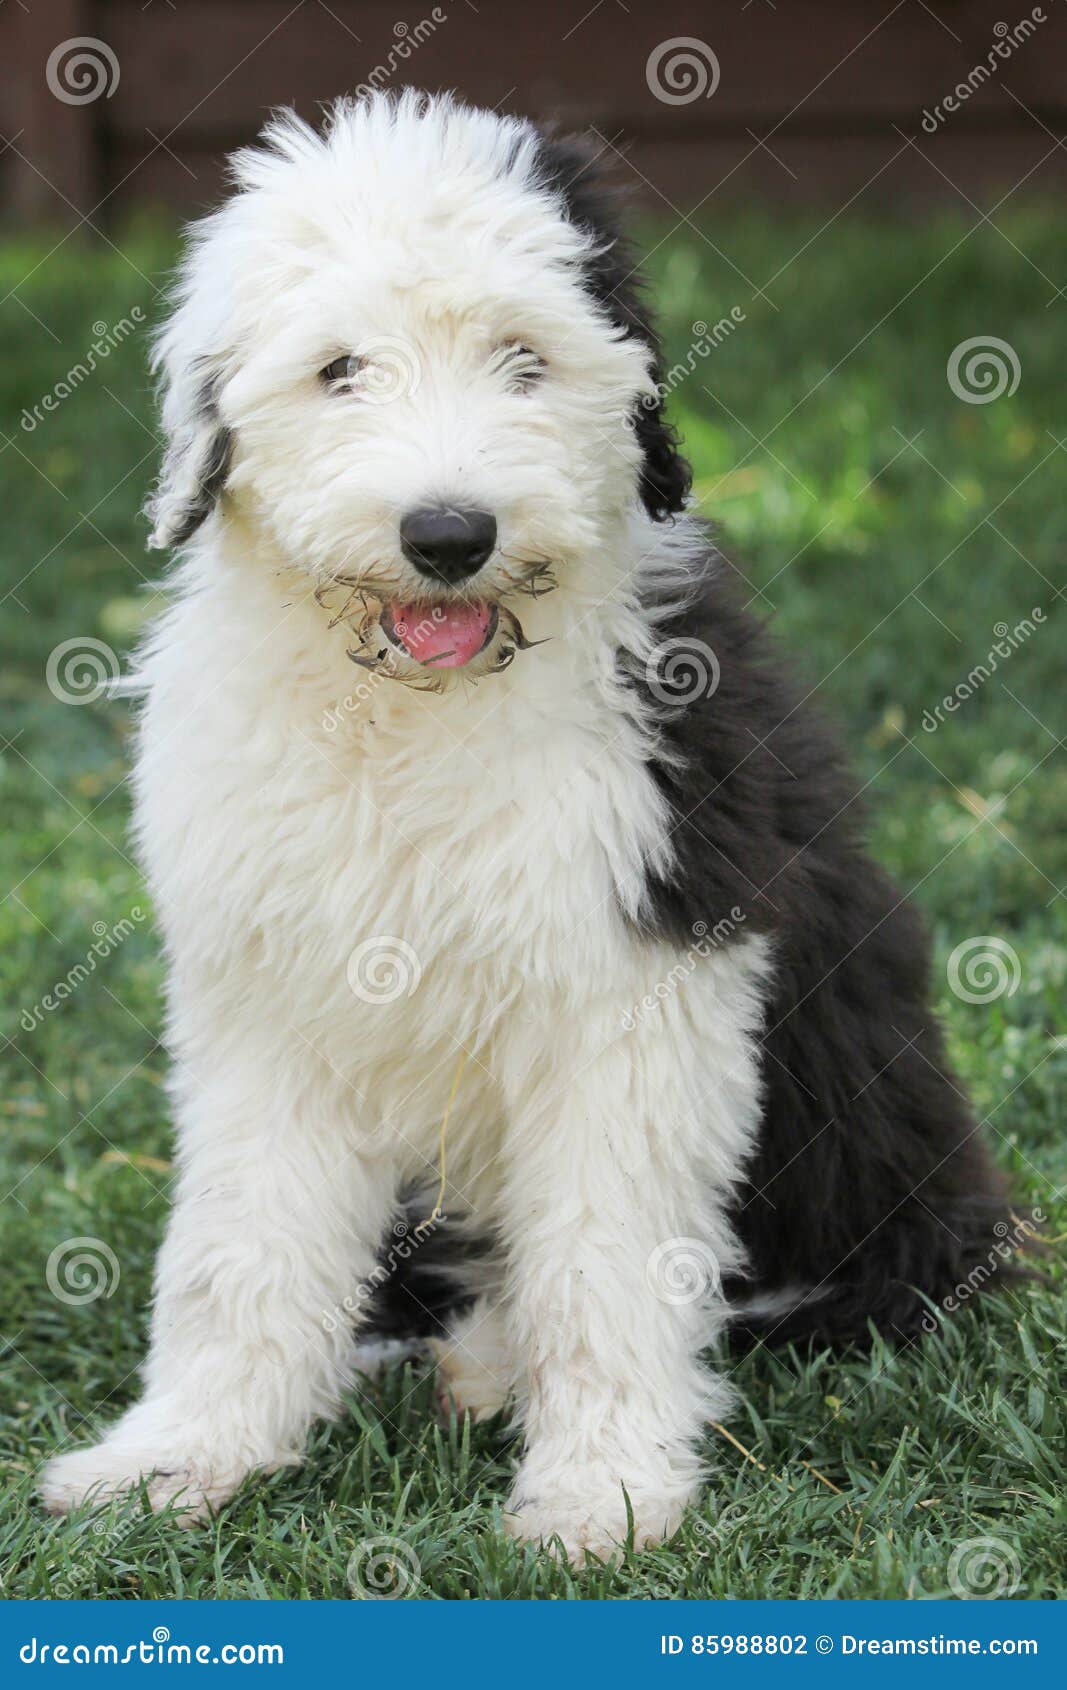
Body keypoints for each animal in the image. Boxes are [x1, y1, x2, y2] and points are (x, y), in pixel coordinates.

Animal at [39, 92, 1007, 1561]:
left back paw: (500, 1361)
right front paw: (177, 1458)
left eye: (523, 358)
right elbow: (238, 1241)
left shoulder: (642, 979)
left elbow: (610, 1255)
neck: (416, 713)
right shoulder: (265, 996)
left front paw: (601, 1492)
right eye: (338, 370)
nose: (448, 533)